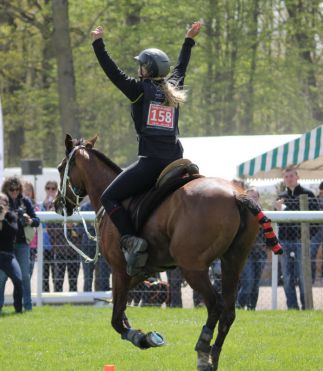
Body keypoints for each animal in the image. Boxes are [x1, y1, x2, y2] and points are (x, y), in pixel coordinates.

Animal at [54, 135, 282, 370]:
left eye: (61, 168)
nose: (58, 204)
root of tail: (236, 195)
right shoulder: (140, 273)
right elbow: (121, 311)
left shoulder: (119, 271)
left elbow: (116, 319)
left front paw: (142, 338)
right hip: (232, 263)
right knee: (228, 312)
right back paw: (213, 357)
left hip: (192, 268)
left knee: (215, 305)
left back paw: (203, 350)